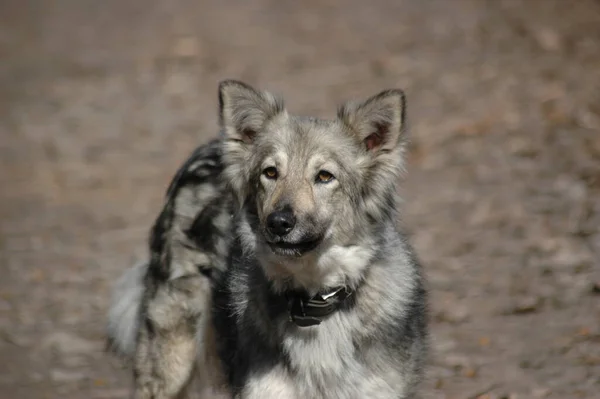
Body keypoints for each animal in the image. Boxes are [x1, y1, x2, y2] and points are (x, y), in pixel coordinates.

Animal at [106, 79, 426, 398]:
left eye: (325, 176)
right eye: (270, 172)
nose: (278, 223)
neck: (313, 300)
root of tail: (207, 149)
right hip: (171, 359)